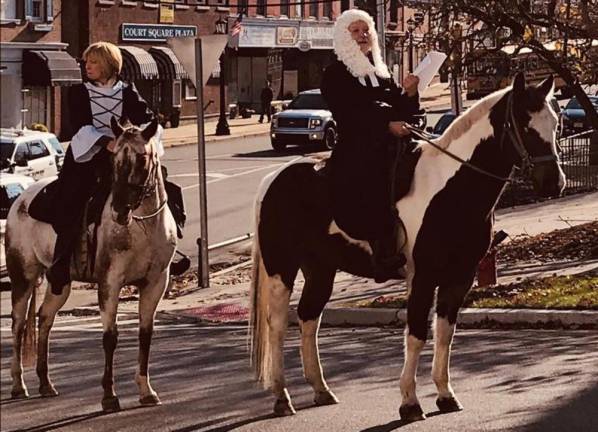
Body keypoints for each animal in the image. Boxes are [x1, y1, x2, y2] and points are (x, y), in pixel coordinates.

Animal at [7, 117, 177, 412]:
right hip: (23, 277)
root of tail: (21, 197)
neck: (143, 226)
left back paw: (46, 383)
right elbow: (110, 337)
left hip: (59, 282)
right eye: (113, 159)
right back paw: (19, 385)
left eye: (142, 159)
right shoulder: (110, 282)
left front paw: (146, 390)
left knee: (45, 318)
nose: (119, 211)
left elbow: (145, 334)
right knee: (18, 325)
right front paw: (109, 396)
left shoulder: (156, 282)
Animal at [248, 72, 568, 420]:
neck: (452, 187)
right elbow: (416, 334)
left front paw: (445, 395)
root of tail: (273, 179)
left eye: (556, 122)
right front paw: (410, 402)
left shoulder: (460, 277)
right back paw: (282, 396)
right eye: (524, 123)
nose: (554, 183)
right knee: (278, 324)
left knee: (308, 318)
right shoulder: (423, 277)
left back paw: (321, 389)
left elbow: (445, 334)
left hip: (321, 269)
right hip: (281, 268)